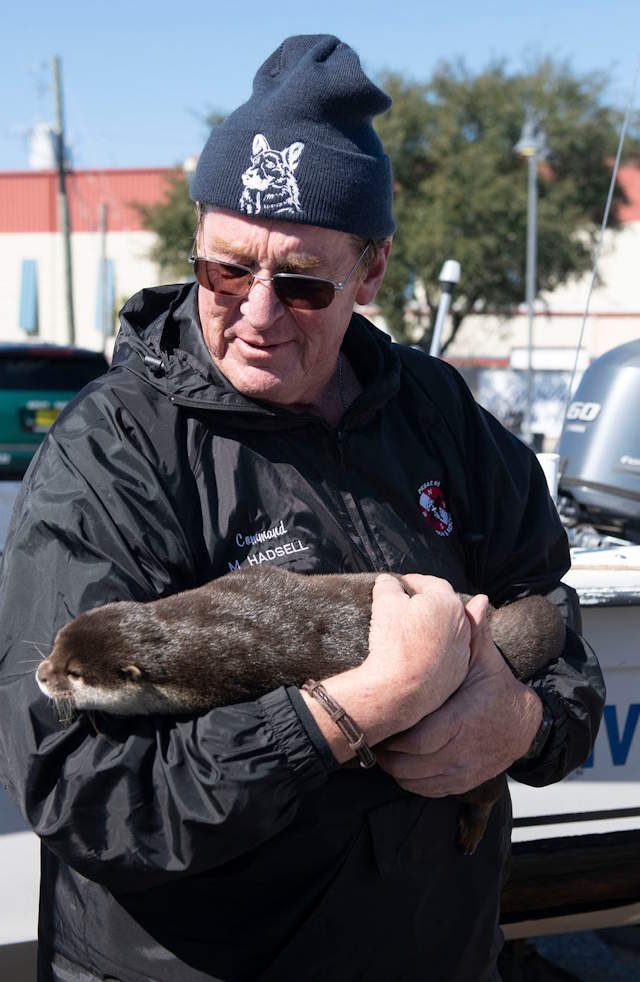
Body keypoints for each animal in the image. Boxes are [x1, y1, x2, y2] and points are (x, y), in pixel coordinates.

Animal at [36, 566, 565, 853]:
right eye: (57, 646)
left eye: (75, 673)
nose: (42, 674)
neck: (203, 626)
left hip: (473, 759)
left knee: (488, 784)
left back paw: (473, 829)